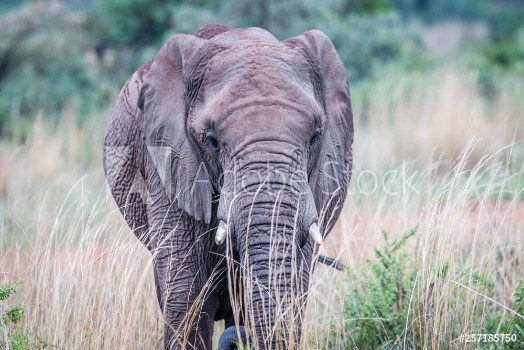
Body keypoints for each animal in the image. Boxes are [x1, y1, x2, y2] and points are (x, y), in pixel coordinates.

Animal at [104, 23, 354, 348]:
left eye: (315, 136)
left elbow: (294, 286)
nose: (242, 338)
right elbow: (186, 296)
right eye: (211, 140)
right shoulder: (167, 165)